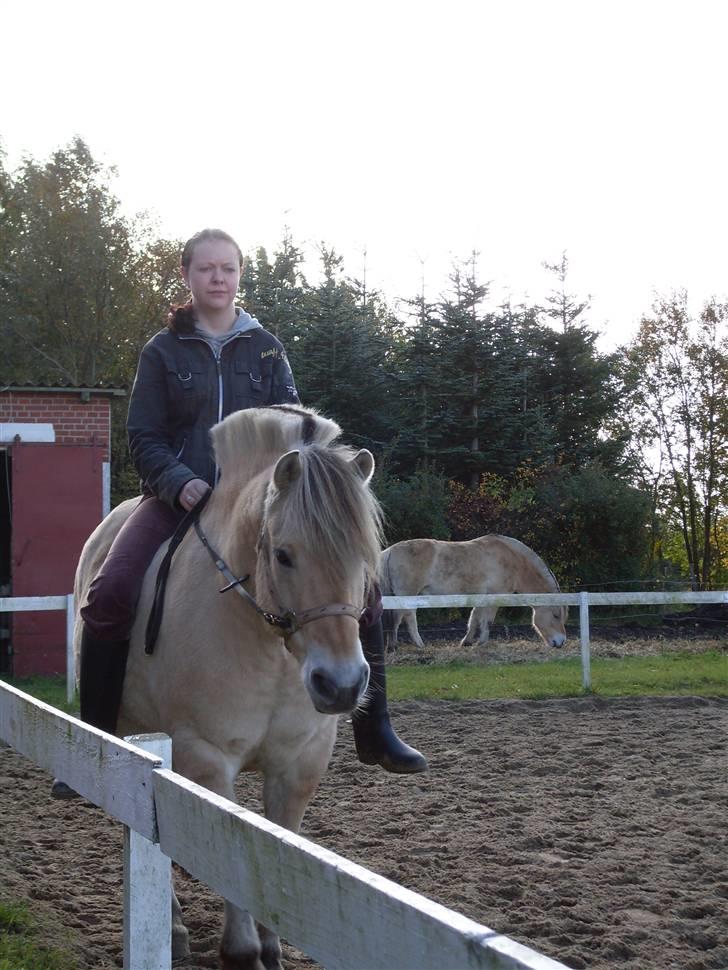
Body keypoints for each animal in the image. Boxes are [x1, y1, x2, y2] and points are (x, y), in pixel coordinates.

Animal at [72, 406, 384, 968]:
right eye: (283, 555)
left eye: (365, 555)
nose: (341, 683)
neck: (268, 648)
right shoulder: (207, 756)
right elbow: (232, 851)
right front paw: (241, 950)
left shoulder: (299, 765)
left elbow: (274, 848)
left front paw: (271, 947)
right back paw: (173, 930)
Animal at [382, 532, 568, 648]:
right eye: (555, 615)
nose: (561, 642)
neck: (513, 561)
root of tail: (390, 551)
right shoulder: (494, 596)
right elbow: (487, 621)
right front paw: (481, 643)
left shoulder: (480, 596)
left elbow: (474, 619)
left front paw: (467, 642)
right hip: (407, 595)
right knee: (407, 618)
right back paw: (415, 644)